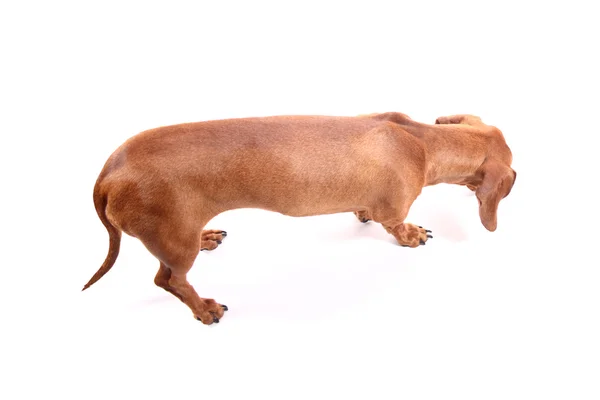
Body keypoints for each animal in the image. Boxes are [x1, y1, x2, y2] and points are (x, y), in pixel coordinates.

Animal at [83, 111, 516, 324]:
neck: (421, 141)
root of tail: (107, 175)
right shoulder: (395, 209)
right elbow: (395, 226)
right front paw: (411, 235)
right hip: (173, 243)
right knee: (169, 280)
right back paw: (204, 308)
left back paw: (206, 238)